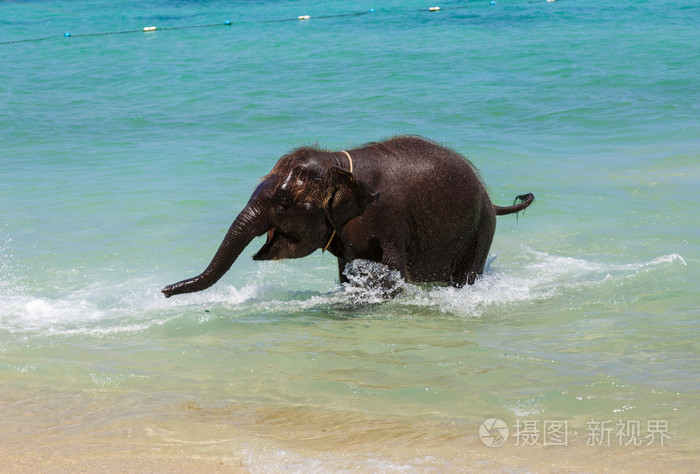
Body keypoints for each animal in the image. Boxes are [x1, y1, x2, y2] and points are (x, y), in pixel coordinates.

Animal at [162, 136, 534, 297]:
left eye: (283, 201)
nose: (164, 290)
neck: (338, 163)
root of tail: (492, 200)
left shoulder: (390, 217)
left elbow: (394, 271)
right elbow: (347, 272)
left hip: (482, 230)